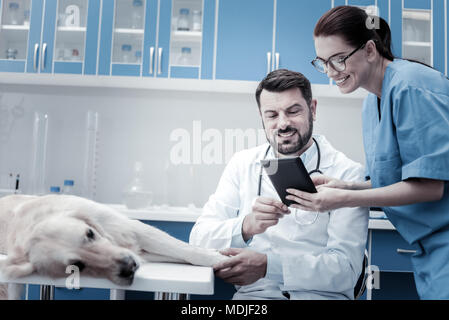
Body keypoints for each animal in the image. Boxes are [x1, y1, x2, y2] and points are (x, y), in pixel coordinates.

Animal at [0, 195, 228, 300]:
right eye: (77, 267)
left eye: (90, 234)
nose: (129, 265)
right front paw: (218, 256)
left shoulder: (133, 228)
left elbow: (184, 249)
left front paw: (217, 257)